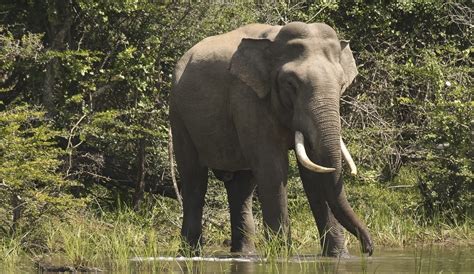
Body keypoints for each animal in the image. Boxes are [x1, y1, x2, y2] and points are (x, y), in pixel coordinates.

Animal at [170, 21, 374, 256]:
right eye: (291, 84)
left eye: (341, 85)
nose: (368, 249)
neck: (273, 41)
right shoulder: (248, 98)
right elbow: (273, 169)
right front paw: (283, 256)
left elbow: (313, 173)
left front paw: (338, 257)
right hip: (178, 115)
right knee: (194, 180)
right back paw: (191, 254)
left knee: (241, 188)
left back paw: (244, 255)